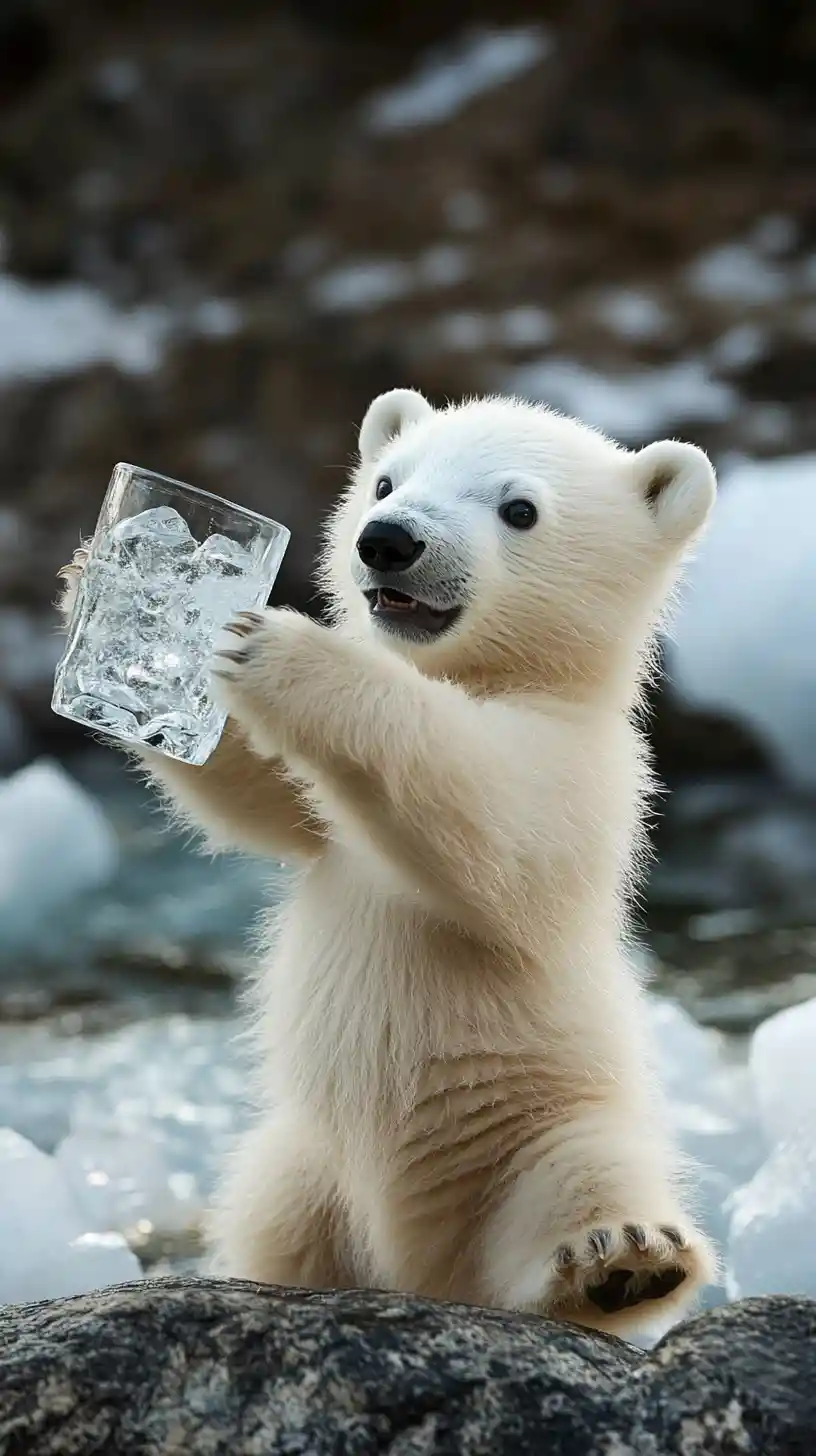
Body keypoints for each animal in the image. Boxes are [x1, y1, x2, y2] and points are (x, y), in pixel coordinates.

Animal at [59, 389, 718, 1335]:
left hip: (540, 1121)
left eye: (520, 509)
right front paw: (101, 579)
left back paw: (622, 1261)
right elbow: (265, 796)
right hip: (306, 1161)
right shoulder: (331, 830)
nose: (389, 539)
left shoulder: (585, 771)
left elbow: (493, 818)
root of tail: (427, 1271)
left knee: (588, 1171)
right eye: (384, 481)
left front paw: (281, 649)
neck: (493, 677)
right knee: (272, 1219)